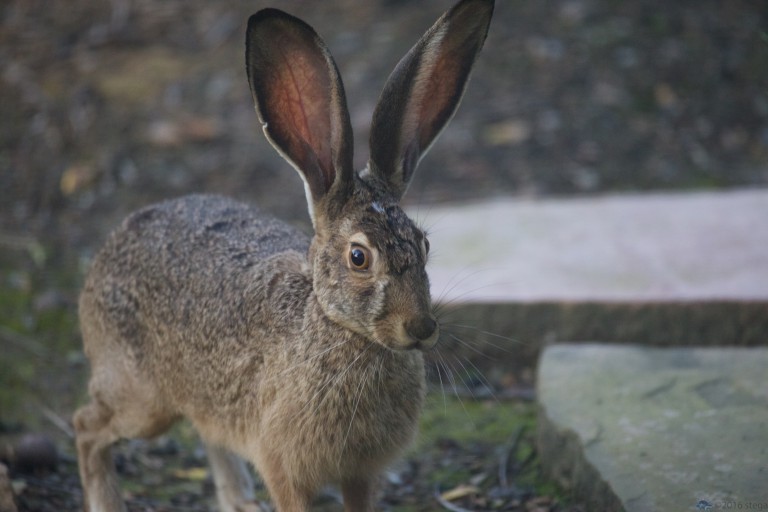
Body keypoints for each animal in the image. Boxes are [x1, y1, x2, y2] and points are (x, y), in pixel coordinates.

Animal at [73, 0, 493, 511]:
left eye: (424, 244)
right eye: (359, 257)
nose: (422, 327)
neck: (336, 328)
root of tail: (105, 255)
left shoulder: (361, 472)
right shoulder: (284, 469)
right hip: (142, 402)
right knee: (85, 427)